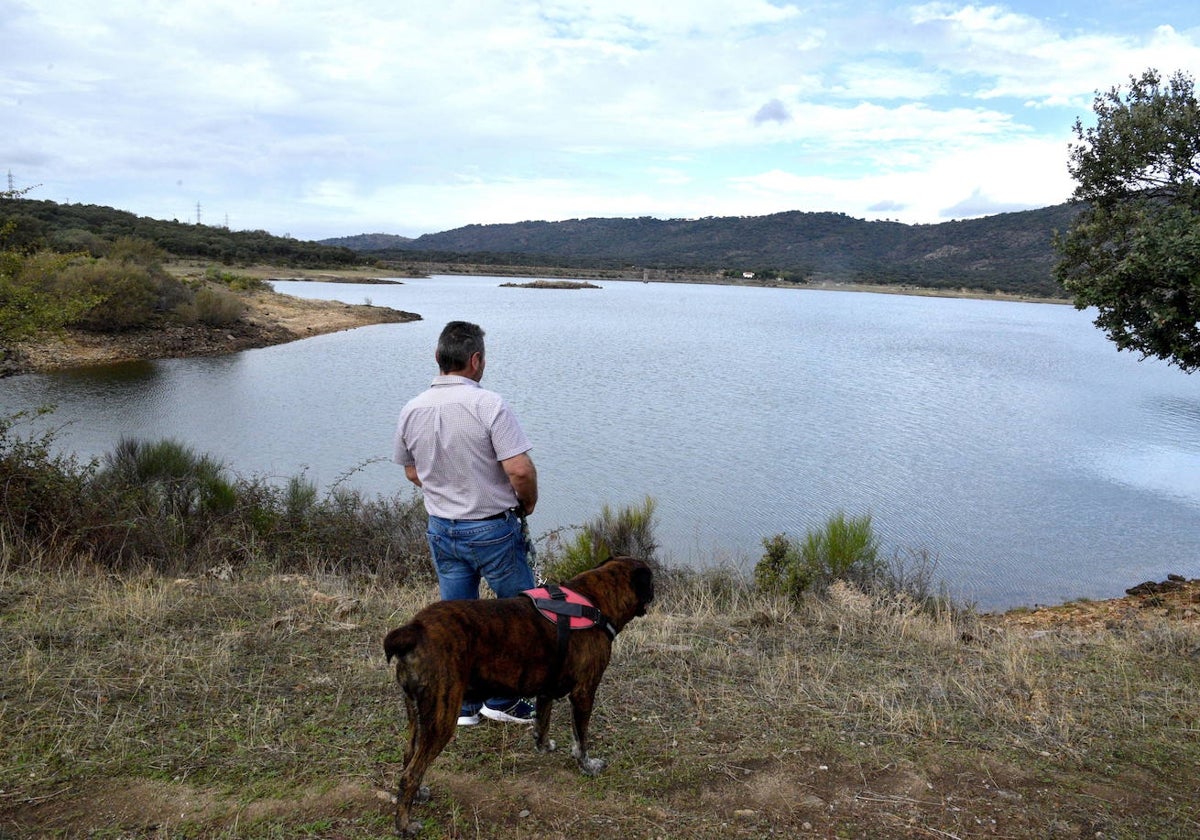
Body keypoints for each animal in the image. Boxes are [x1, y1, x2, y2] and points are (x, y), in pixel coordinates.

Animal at [384, 556, 652, 835]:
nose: (654, 593)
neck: (595, 600)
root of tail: (414, 629)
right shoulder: (584, 692)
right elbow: (581, 741)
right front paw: (588, 766)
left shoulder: (546, 690)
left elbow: (542, 723)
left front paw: (543, 746)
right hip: (440, 720)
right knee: (411, 774)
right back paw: (404, 824)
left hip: (416, 714)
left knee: (408, 757)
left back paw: (416, 796)